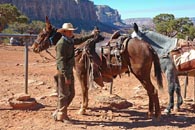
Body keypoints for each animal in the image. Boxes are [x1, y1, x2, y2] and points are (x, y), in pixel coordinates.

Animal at [31, 16, 163, 119]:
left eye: (42, 34)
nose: (34, 47)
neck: (77, 49)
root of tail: (148, 46)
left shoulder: (81, 73)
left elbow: (84, 90)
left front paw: (83, 109)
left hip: (141, 74)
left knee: (152, 90)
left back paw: (156, 114)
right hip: (143, 75)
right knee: (150, 91)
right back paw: (150, 113)